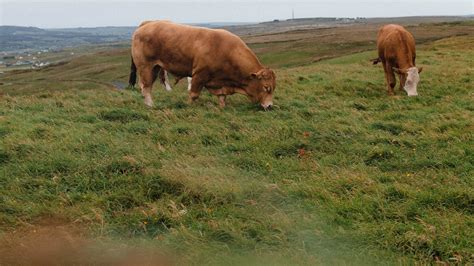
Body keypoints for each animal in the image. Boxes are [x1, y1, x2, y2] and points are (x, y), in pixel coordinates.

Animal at [128, 19, 276, 109]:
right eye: (266, 87)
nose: (269, 106)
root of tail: (148, 23)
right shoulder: (200, 75)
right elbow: (193, 94)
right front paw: (189, 106)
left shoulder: (219, 81)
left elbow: (222, 97)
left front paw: (222, 107)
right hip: (146, 67)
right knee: (146, 88)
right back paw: (150, 105)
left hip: (155, 67)